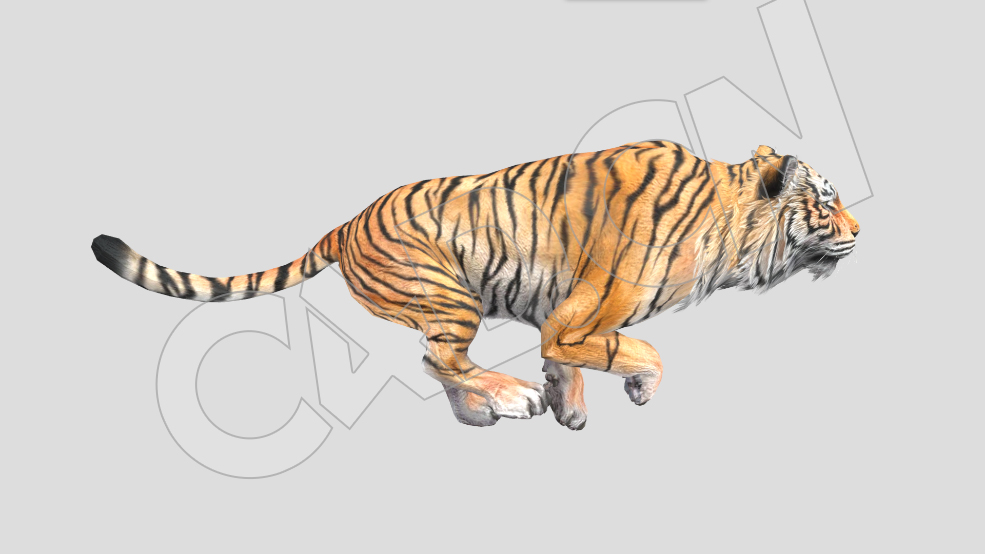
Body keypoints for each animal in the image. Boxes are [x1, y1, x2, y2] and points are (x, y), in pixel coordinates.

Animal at [92, 141, 860, 430]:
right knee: (440, 358)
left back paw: (482, 411)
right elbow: (641, 352)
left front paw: (569, 406)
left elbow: (569, 359)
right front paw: (631, 388)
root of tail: (346, 222)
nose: (862, 229)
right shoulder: (576, 319)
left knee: (436, 362)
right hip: (449, 294)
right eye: (827, 201)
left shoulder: (560, 312)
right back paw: (507, 399)